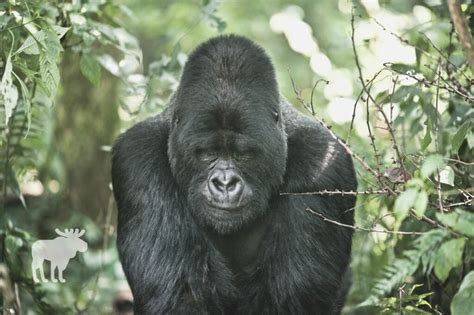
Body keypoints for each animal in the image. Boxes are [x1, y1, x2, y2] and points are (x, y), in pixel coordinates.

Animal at [111, 35, 356, 315]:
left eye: (242, 154)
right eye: (208, 153)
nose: (225, 183)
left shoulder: (324, 163)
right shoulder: (137, 157)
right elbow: (180, 298)